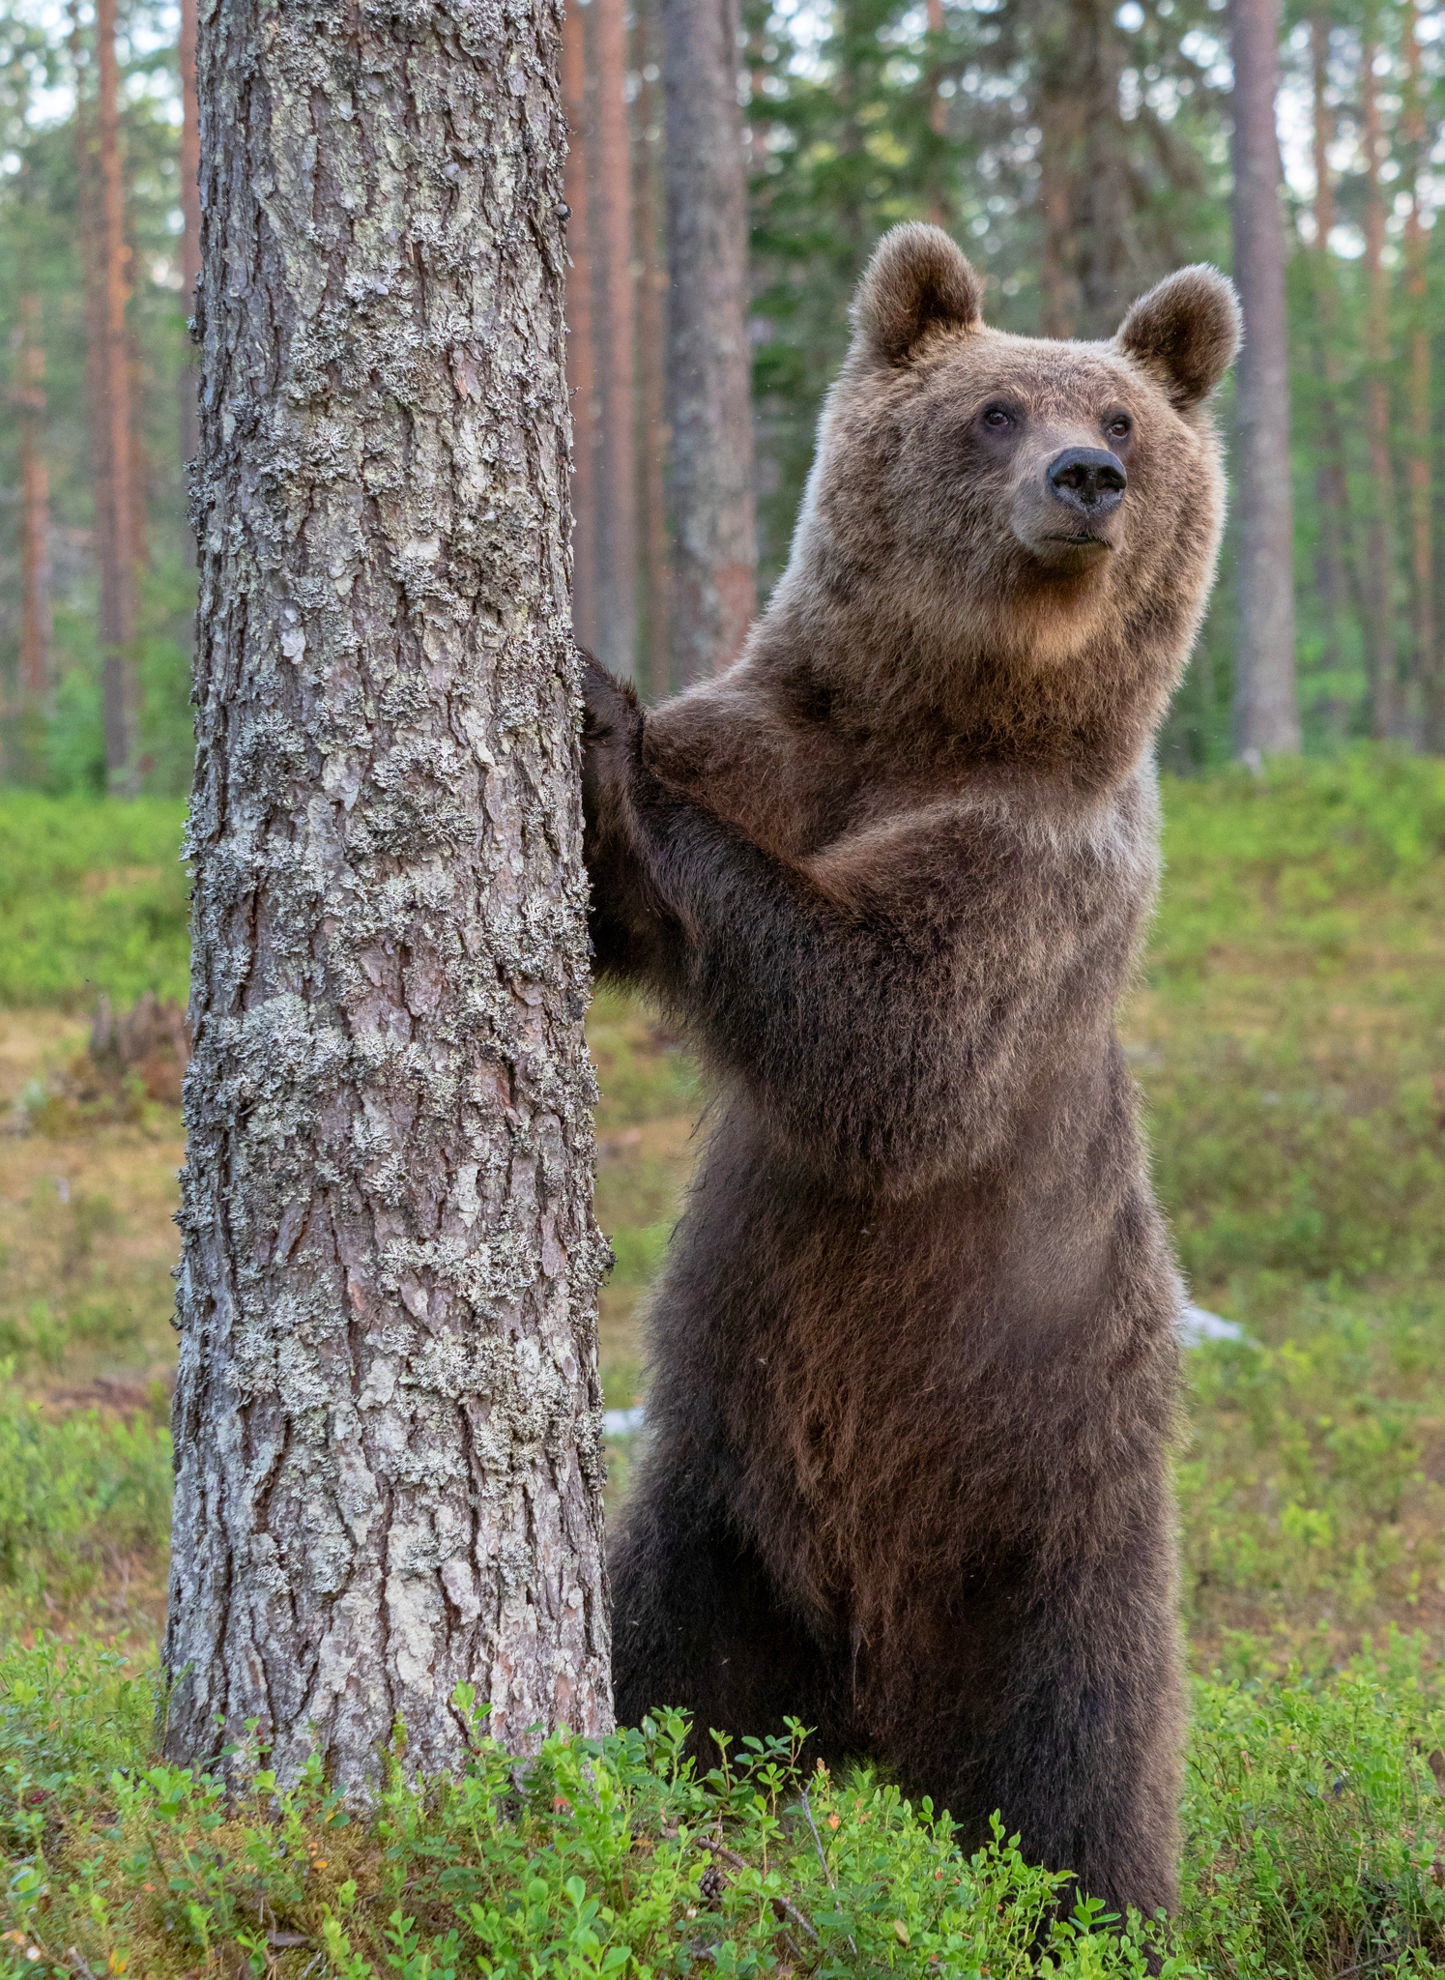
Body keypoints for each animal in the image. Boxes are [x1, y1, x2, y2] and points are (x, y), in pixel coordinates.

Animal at [578, 220, 1235, 1916]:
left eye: (1122, 415)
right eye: (994, 408)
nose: (1087, 479)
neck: (952, 722)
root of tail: (870, 1709)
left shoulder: (1046, 873)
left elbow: (896, 1040)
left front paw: (602, 735)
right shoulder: (788, 740)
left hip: (1057, 1534)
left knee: (1084, 1785)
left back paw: (1100, 1910)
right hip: (716, 1534)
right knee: (653, 1676)